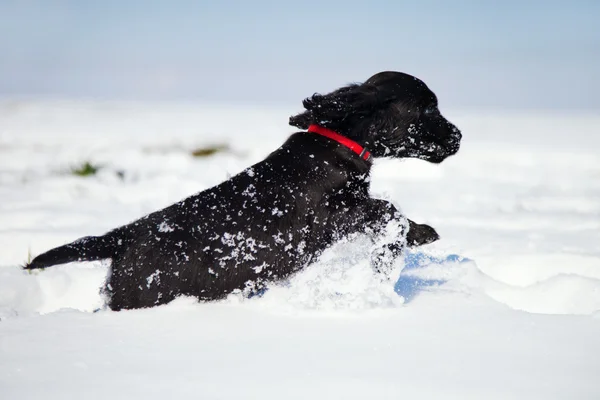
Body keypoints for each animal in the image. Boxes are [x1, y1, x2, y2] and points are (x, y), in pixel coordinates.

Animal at [25, 72, 462, 310]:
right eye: (428, 108)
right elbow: (387, 208)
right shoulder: (328, 217)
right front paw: (417, 235)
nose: (458, 137)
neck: (335, 144)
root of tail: (120, 238)